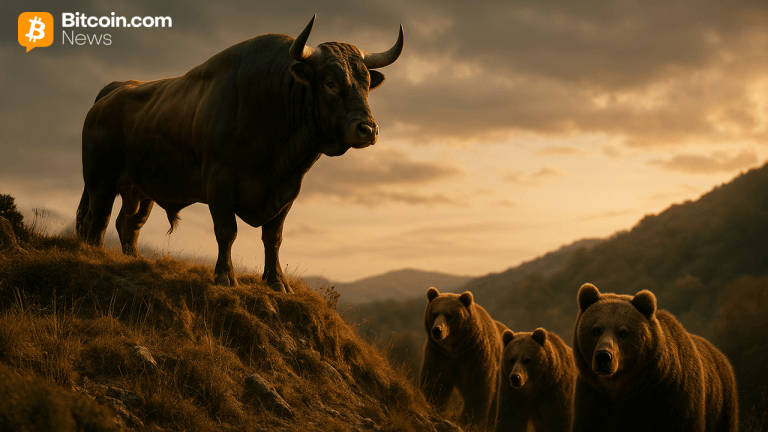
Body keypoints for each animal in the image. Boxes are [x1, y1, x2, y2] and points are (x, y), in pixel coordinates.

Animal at [75, 16, 403, 293]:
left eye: (366, 85)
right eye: (330, 82)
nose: (367, 129)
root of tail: (112, 91)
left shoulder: (288, 189)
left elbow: (273, 237)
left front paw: (277, 281)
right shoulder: (219, 181)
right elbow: (226, 230)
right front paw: (225, 276)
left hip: (142, 191)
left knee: (128, 224)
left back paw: (133, 260)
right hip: (100, 183)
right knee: (97, 220)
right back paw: (94, 255)